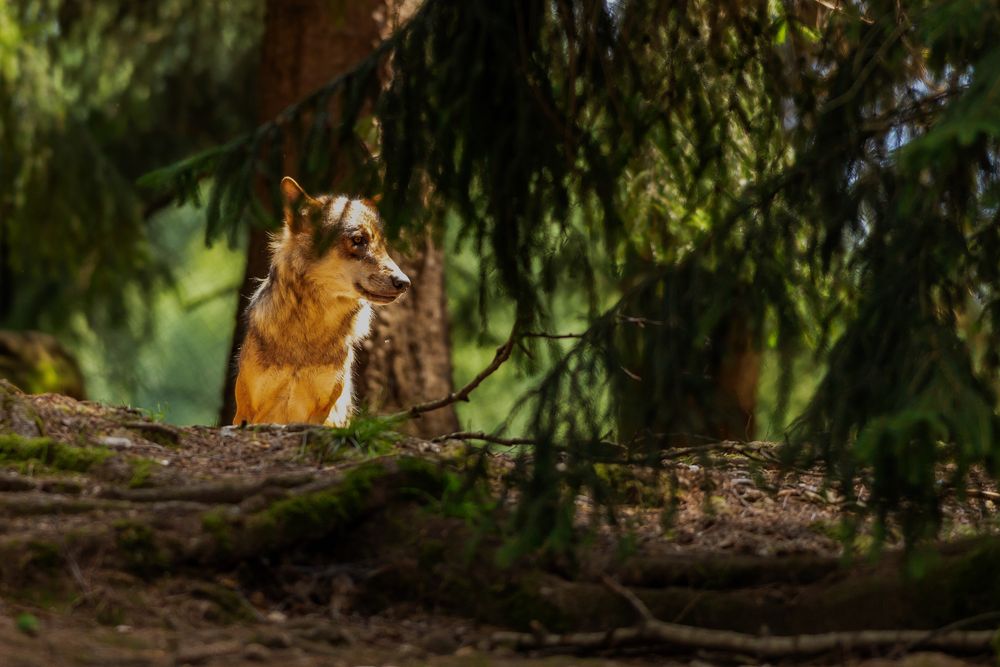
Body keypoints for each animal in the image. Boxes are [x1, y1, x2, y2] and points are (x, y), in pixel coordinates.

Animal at [231, 176, 410, 428]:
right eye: (358, 240)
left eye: (382, 245)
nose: (404, 282)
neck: (309, 334)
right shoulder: (245, 411)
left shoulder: (323, 411)